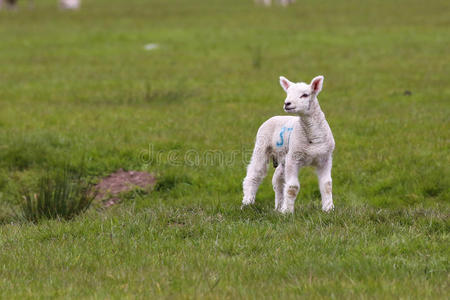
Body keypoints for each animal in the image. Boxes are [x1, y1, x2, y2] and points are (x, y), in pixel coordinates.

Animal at [243, 74, 334, 213]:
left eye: (305, 95)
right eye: (288, 93)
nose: (287, 103)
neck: (313, 137)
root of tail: (275, 116)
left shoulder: (325, 159)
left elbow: (327, 185)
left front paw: (329, 209)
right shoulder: (293, 158)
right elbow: (292, 187)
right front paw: (287, 212)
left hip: (284, 158)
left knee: (277, 180)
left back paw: (278, 207)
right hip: (261, 145)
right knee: (254, 175)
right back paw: (247, 203)